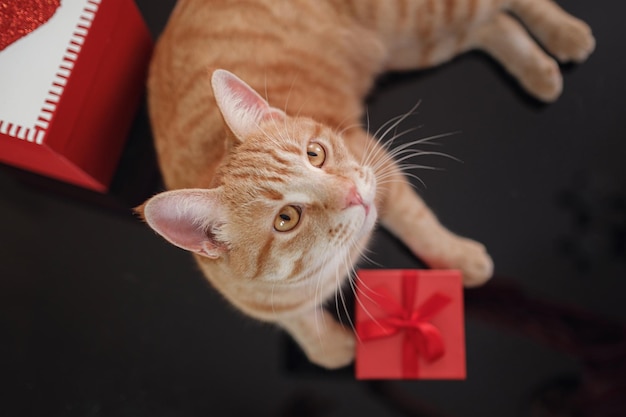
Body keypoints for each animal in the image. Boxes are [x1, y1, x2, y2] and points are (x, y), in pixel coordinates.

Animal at [136, 0, 588, 368]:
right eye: (286, 219)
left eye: (315, 154)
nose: (353, 195)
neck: (323, 272)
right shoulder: (257, 300)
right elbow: (298, 325)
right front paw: (329, 345)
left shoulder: (374, 160)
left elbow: (417, 222)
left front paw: (458, 258)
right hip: (415, 44)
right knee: (490, 26)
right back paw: (539, 68)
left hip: (417, 16)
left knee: (505, 6)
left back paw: (566, 34)